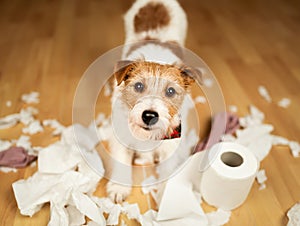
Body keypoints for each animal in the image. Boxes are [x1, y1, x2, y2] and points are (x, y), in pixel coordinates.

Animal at [105, 0, 202, 203]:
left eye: (171, 91)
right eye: (139, 86)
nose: (149, 115)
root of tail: (156, 2)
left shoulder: (171, 144)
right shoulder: (121, 135)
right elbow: (122, 159)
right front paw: (119, 187)